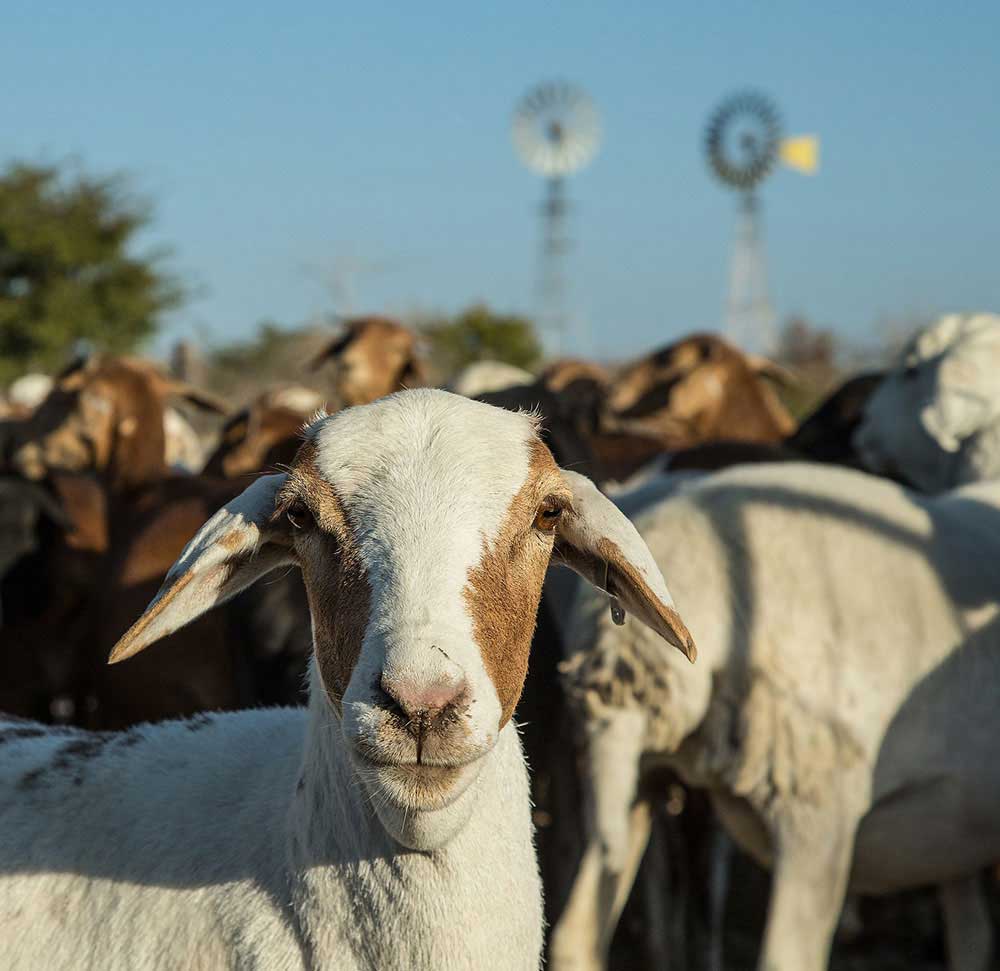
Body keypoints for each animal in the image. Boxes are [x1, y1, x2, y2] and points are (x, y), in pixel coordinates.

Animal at [552, 464, 1000, 971]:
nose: (604, 841)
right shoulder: (649, 767)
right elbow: (572, 939)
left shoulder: (820, 821)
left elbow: (784, 959)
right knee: (971, 934)